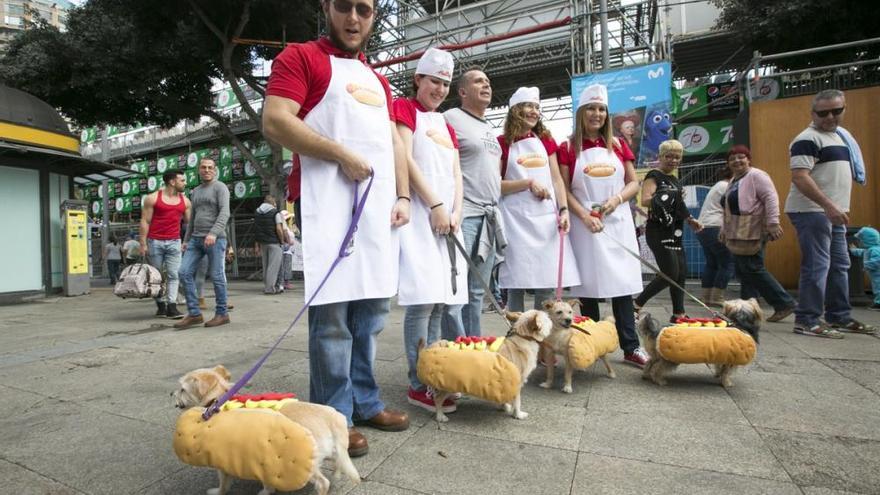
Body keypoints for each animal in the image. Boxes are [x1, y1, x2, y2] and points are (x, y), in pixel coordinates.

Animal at [172, 364, 358, 495]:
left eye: (182, 390)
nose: (170, 394)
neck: (218, 400)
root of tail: (332, 418)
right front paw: (268, 490)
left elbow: (223, 483)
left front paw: (217, 491)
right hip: (334, 452)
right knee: (339, 464)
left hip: (306, 463)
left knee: (322, 483)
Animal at [632, 300, 764, 390]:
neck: (738, 322)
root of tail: (656, 331)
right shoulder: (730, 359)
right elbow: (726, 372)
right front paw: (726, 383)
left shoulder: (722, 355)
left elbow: (719, 368)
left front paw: (718, 375)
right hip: (670, 358)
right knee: (657, 368)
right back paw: (659, 380)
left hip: (659, 355)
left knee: (650, 363)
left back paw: (646, 375)